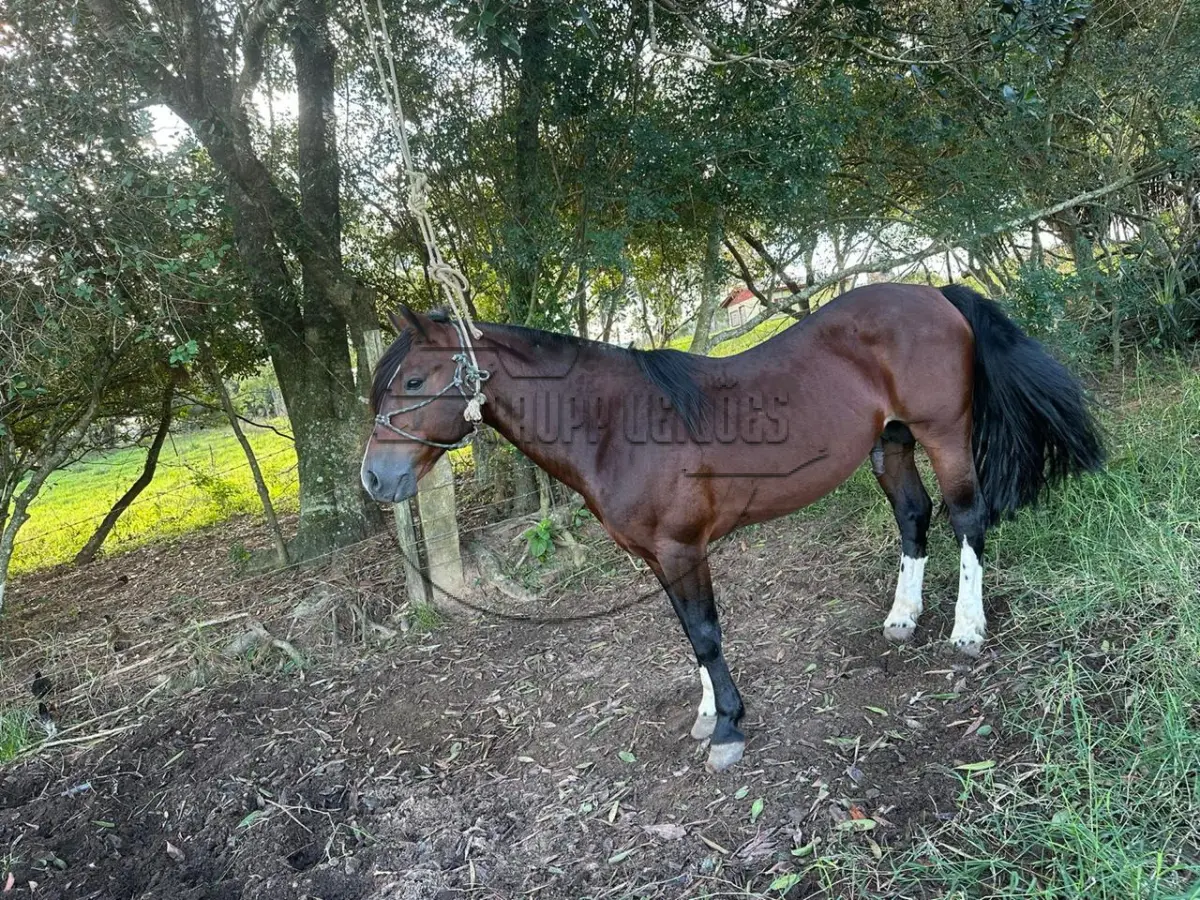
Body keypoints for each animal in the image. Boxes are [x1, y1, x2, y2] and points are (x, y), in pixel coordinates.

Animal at [360, 283, 1105, 772]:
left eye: (416, 380)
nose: (374, 481)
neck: (615, 423)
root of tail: (936, 294)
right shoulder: (659, 556)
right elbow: (688, 633)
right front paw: (705, 713)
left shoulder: (681, 547)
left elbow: (706, 632)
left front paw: (727, 728)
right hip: (889, 443)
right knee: (914, 516)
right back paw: (903, 616)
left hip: (943, 434)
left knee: (966, 517)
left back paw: (967, 629)